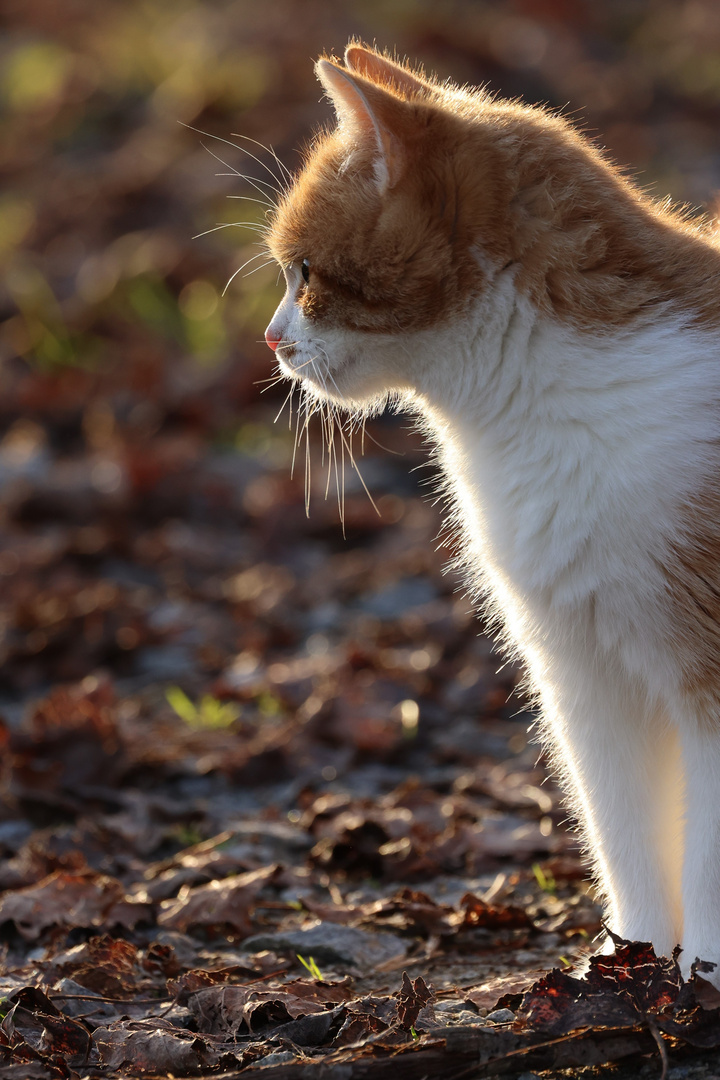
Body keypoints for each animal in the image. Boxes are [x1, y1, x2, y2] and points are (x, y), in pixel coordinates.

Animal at [262, 42, 720, 989]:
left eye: (305, 273)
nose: (271, 340)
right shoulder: (582, 668)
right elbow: (623, 831)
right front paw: (632, 964)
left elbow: (710, 855)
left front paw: (707, 976)